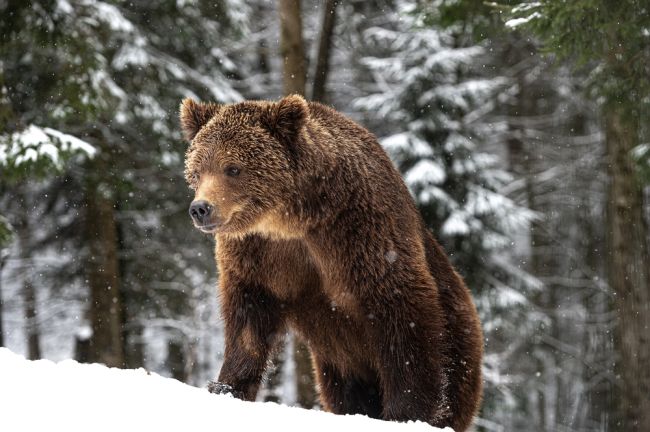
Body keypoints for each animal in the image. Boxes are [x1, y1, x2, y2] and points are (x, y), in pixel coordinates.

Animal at [180, 95, 484, 432]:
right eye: (197, 170)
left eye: (232, 168)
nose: (201, 209)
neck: (291, 221)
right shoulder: (257, 255)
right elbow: (247, 320)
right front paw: (225, 386)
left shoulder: (360, 233)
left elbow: (402, 312)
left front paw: (405, 412)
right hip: (338, 367)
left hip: (458, 336)